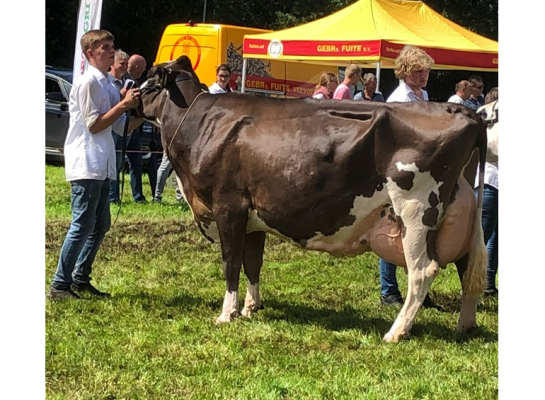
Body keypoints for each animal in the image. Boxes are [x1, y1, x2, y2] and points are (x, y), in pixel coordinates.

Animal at [138, 56, 486, 342]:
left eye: (148, 84)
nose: (131, 97)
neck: (203, 123)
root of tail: (461, 109)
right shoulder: (252, 217)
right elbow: (253, 263)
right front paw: (251, 307)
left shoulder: (228, 206)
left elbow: (231, 262)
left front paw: (227, 314)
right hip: (460, 213)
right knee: (467, 268)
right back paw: (464, 326)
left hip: (416, 210)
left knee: (423, 270)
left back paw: (396, 332)